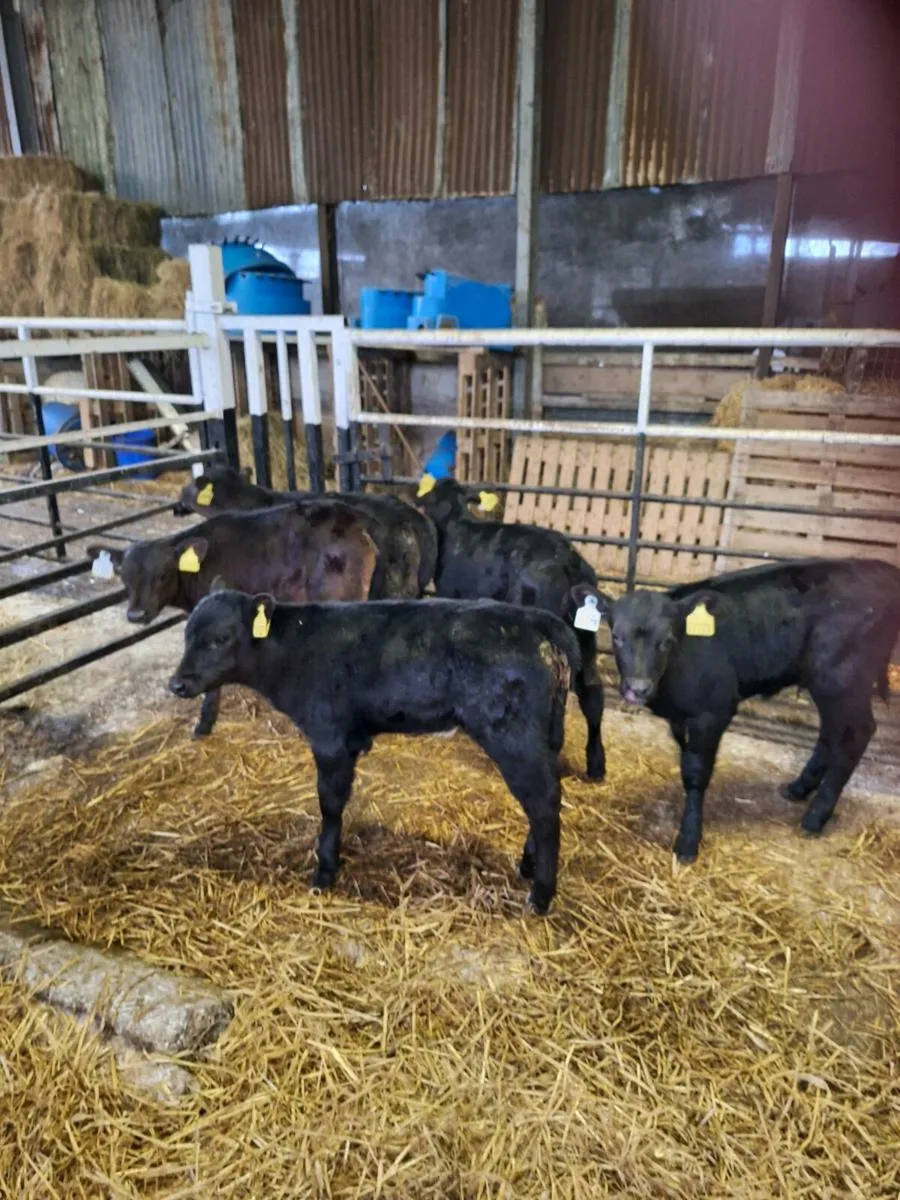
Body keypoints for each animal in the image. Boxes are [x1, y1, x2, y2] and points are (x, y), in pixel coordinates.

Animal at [168, 587, 583, 914]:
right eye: (186, 635)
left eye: (220, 638)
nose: (177, 684)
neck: (292, 648)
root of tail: (539, 621)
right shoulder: (352, 738)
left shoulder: (330, 737)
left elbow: (330, 803)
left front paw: (324, 872)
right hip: (544, 735)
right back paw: (528, 866)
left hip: (512, 735)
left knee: (544, 800)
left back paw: (540, 895)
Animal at [573, 557, 900, 862]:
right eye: (616, 636)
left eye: (666, 641)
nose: (638, 688)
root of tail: (885, 570)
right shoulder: (682, 717)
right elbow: (687, 760)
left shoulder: (712, 713)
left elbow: (696, 772)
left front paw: (688, 840)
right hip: (824, 682)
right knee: (831, 731)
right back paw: (798, 789)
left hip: (843, 677)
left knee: (858, 733)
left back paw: (815, 817)